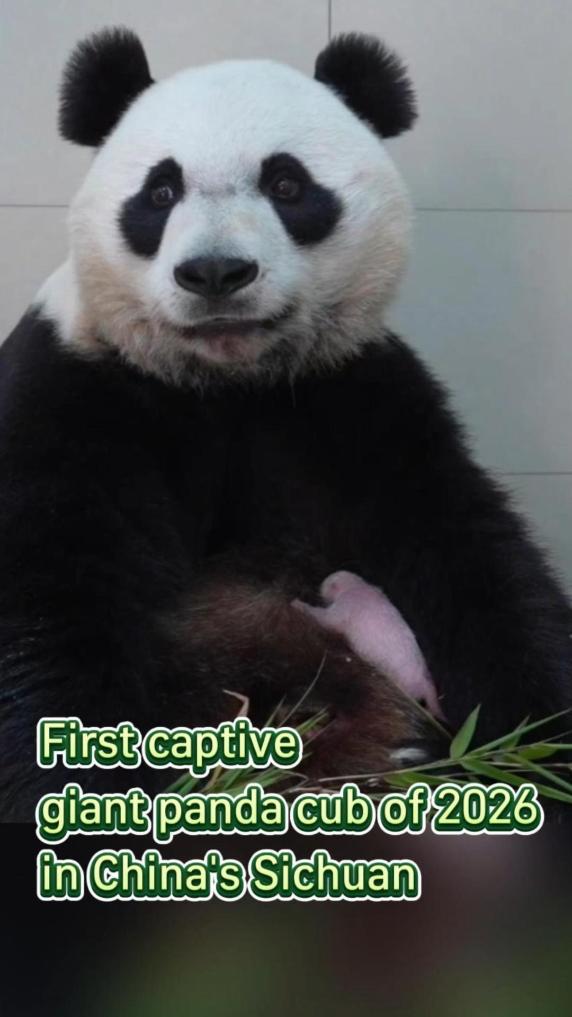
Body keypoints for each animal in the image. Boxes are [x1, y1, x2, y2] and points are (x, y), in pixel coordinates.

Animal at [1, 28, 571, 820]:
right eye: (161, 191)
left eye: (288, 185)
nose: (215, 273)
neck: (229, 380)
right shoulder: (77, 389)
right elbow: (48, 590)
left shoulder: (352, 397)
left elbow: (467, 551)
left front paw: (531, 748)